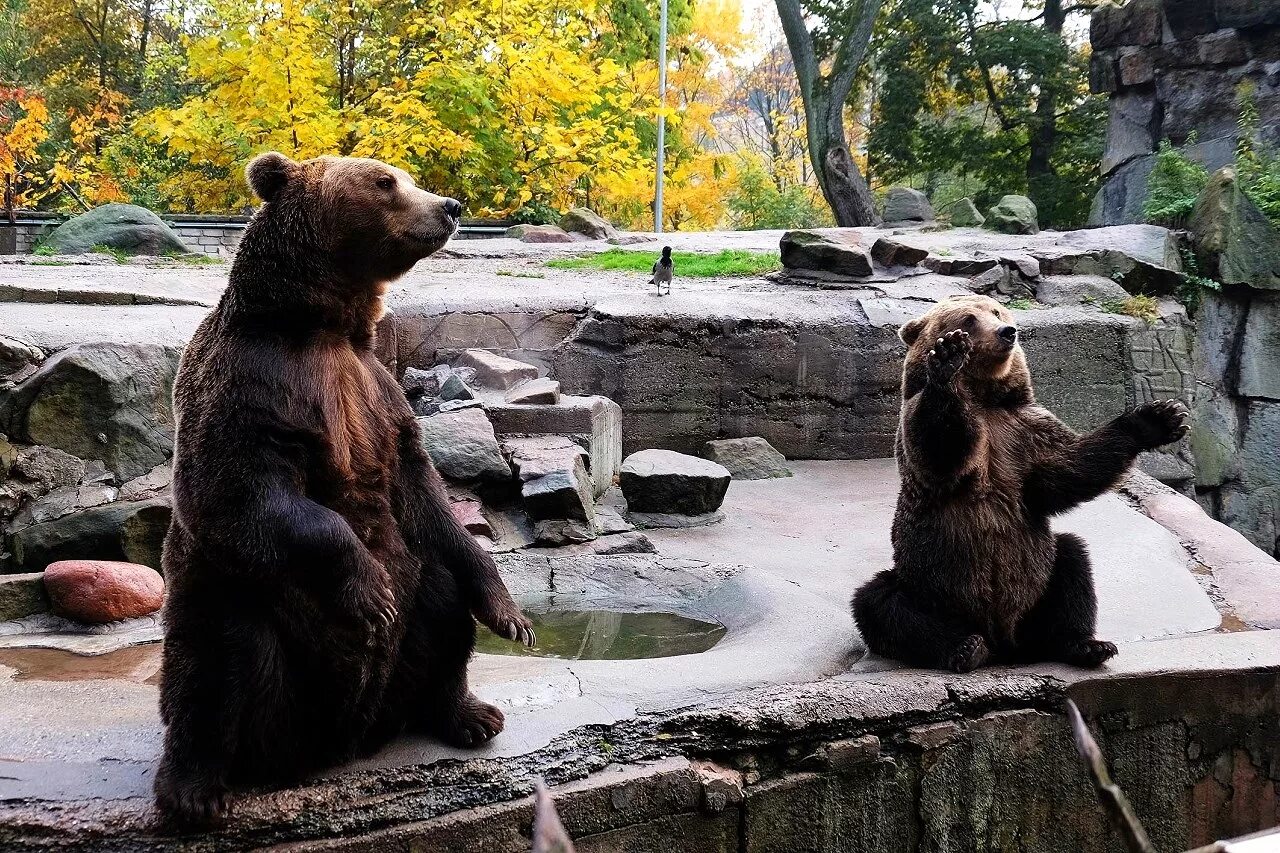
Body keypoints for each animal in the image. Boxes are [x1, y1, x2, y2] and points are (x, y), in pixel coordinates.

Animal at [156, 149, 535, 819]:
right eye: (386, 182)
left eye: (408, 177)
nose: (450, 206)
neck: (326, 326)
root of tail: (342, 743)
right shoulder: (252, 385)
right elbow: (243, 494)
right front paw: (369, 590)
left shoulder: (377, 392)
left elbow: (426, 497)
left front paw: (509, 613)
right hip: (244, 611)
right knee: (217, 661)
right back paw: (195, 789)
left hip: (409, 628)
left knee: (441, 603)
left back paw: (467, 713)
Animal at [849, 295, 1187, 676]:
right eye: (968, 319)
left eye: (997, 311)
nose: (1007, 332)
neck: (984, 399)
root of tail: (1004, 641)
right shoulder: (920, 426)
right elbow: (938, 451)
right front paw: (948, 358)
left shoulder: (1025, 429)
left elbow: (1065, 470)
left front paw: (1158, 418)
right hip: (926, 582)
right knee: (884, 604)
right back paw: (963, 647)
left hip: (1039, 577)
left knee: (1072, 562)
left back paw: (1084, 645)